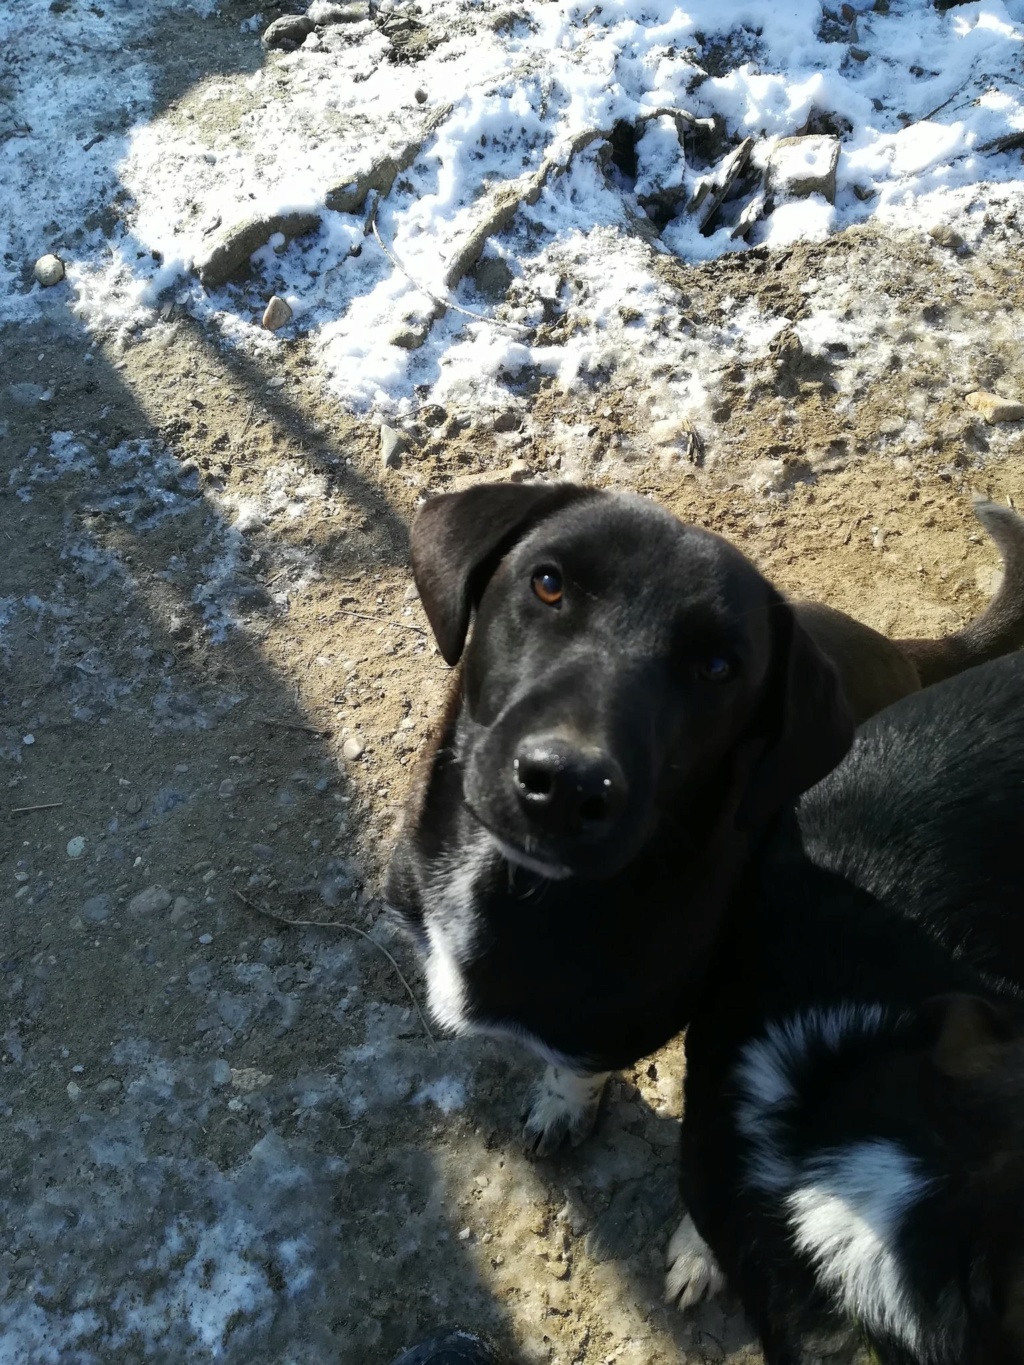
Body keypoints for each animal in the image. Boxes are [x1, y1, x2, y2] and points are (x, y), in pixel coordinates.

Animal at [387, 485, 1024, 1146]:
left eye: (718, 668)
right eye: (547, 584)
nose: (566, 783)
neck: (511, 882)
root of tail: (901, 653)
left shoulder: (614, 1027)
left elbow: (576, 1067)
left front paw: (562, 1109)